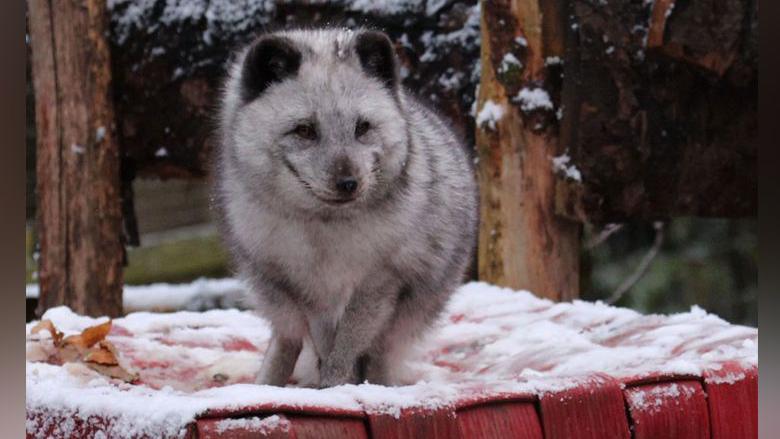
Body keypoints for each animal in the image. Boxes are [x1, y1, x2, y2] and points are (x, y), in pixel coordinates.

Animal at [216, 28, 478, 388]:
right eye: (305, 130)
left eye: (362, 127)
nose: (349, 183)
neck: (328, 232)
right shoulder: (308, 290)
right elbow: (325, 342)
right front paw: (330, 385)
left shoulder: (381, 283)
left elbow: (349, 344)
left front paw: (338, 385)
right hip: (273, 292)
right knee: (287, 340)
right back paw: (266, 385)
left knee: (377, 352)